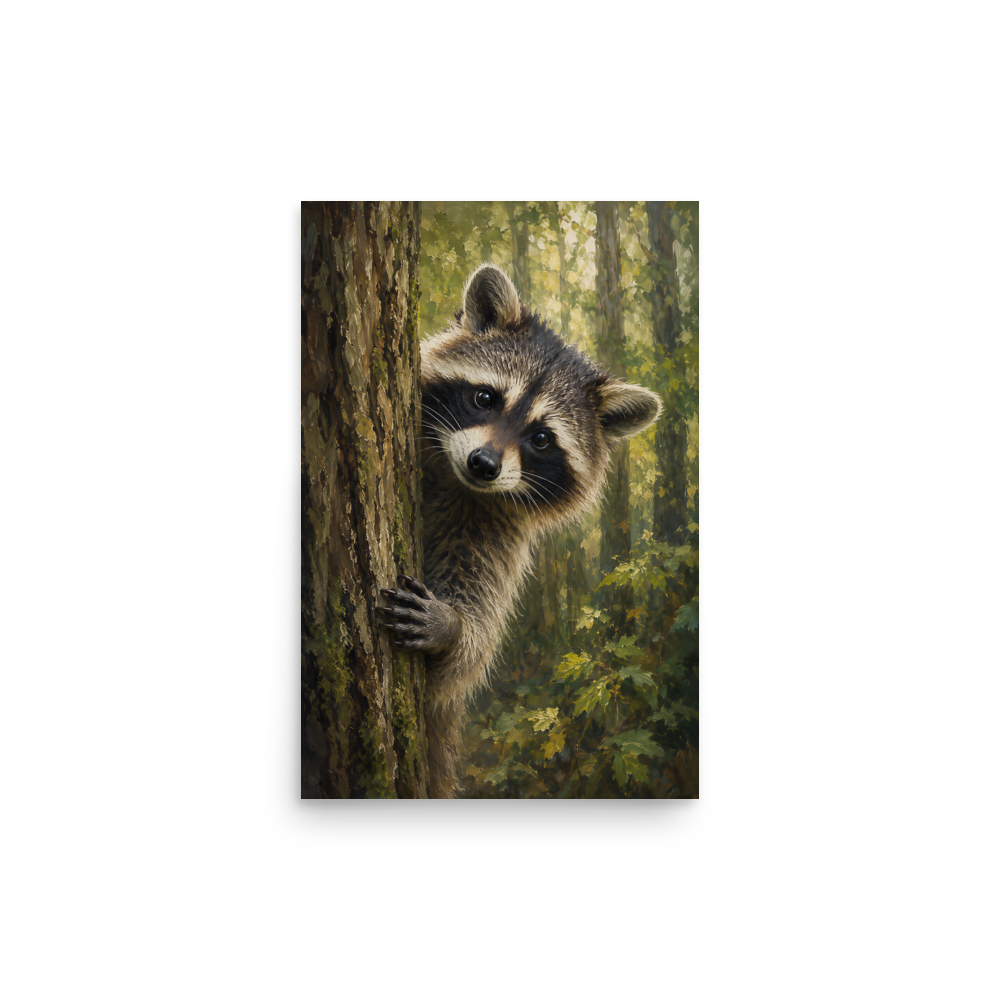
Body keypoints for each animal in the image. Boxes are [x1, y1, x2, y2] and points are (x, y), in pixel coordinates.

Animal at [378, 263, 662, 798]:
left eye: (542, 439)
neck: (456, 480)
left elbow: (465, 656)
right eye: (484, 398)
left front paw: (453, 628)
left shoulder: (496, 532)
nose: (484, 464)